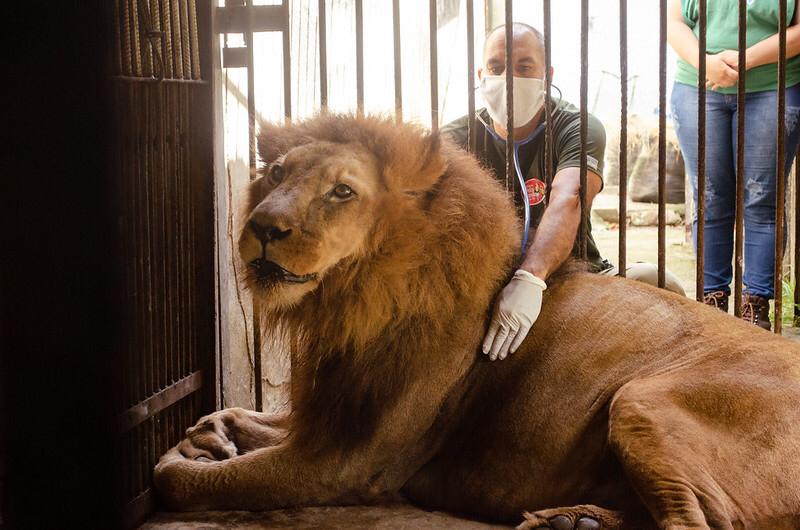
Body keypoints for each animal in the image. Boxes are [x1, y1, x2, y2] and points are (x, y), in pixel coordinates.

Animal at [153, 115, 800, 528]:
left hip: (639, 399)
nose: (261, 227)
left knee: (698, 523)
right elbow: (240, 413)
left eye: (342, 191)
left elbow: (176, 480)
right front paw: (210, 434)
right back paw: (572, 521)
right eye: (276, 174)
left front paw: (190, 456)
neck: (352, 298)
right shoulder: (327, 417)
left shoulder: (348, 461)